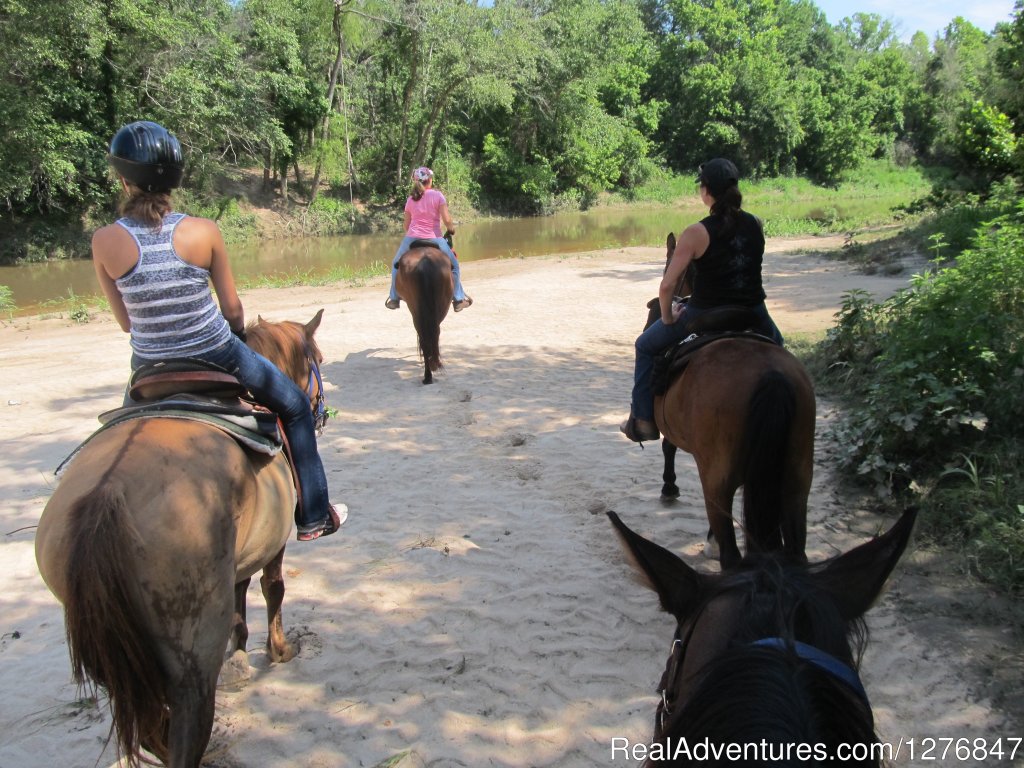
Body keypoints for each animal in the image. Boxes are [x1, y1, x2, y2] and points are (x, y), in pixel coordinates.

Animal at [34, 311, 327, 768]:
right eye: (318, 360)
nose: (321, 410)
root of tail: (106, 497)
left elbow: (241, 597)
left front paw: (239, 652)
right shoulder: (273, 543)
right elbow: (272, 588)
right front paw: (278, 650)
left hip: (114, 655)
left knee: (152, 726)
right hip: (190, 659)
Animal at [393, 240, 454, 385]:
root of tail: (424, 261)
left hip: (417, 309)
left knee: (425, 336)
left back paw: (428, 373)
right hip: (440, 306)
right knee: (433, 333)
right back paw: (432, 368)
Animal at [647, 234, 815, 573]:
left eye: (668, 264)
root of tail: (771, 375)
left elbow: (668, 446)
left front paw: (669, 488)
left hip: (718, 476)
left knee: (730, 552)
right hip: (797, 479)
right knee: (796, 551)